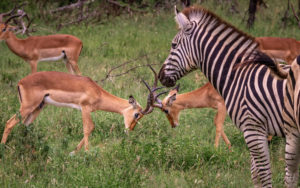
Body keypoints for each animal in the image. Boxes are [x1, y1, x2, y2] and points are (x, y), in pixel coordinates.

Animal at [158, 5, 294, 187]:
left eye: (173, 44)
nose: (160, 75)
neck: (235, 74)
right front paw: (227, 148)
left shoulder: (241, 120)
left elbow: (218, 125)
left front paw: (218, 150)